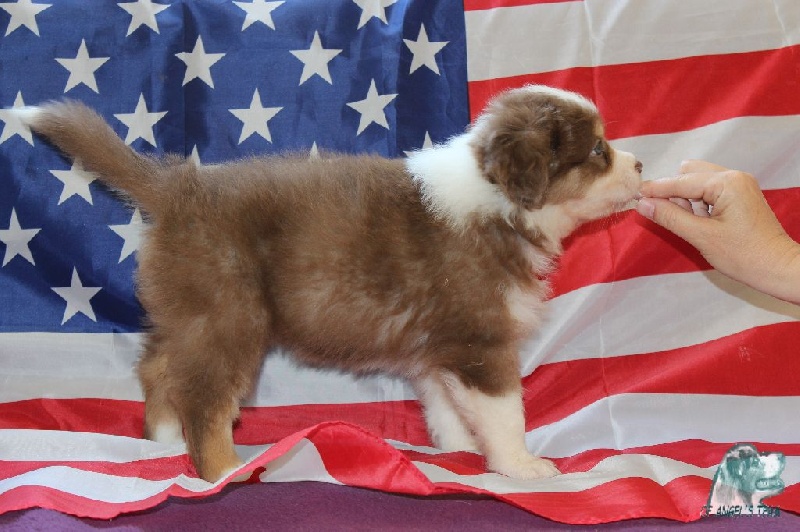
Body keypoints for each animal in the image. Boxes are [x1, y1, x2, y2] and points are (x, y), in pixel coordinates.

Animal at [16, 85, 642, 482]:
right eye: (597, 149)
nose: (639, 166)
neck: (499, 201)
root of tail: (178, 187)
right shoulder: (480, 340)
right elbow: (505, 412)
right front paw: (522, 466)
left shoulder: (440, 346)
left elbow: (445, 405)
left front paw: (460, 453)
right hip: (229, 315)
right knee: (204, 397)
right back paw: (222, 471)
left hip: (187, 309)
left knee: (159, 368)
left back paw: (164, 442)